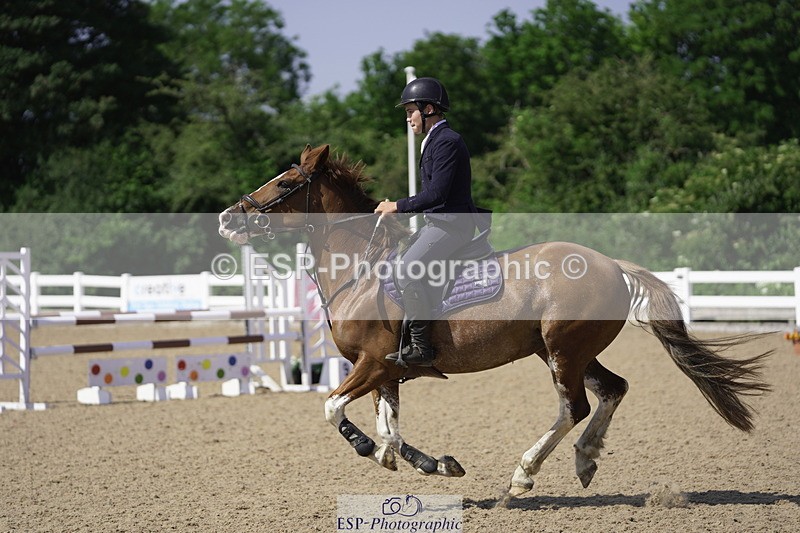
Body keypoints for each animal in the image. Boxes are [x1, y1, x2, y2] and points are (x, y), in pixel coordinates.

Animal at [218, 144, 770, 506]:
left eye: (286, 184)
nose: (227, 217)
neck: (360, 267)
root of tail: (612, 263)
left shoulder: (373, 364)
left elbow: (334, 409)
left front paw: (372, 450)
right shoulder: (384, 372)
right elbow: (390, 430)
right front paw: (428, 463)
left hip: (563, 351)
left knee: (574, 406)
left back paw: (524, 475)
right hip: (567, 351)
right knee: (613, 389)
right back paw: (585, 459)